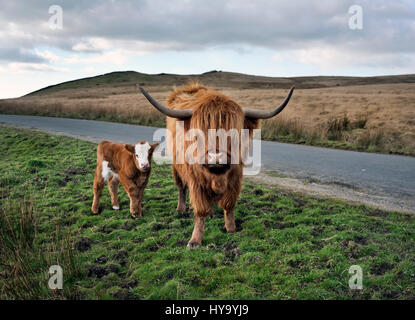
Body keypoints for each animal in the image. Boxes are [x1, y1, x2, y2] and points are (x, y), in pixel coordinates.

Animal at [139, 82, 292, 248]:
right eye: (198, 134)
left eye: (234, 134)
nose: (217, 158)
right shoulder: (196, 181)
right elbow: (200, 210)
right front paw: (195, 240)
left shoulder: (235, 178)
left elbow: (229, 205)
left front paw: (231, 228)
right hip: (176, 166)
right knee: (181, 187)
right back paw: (180, 208)